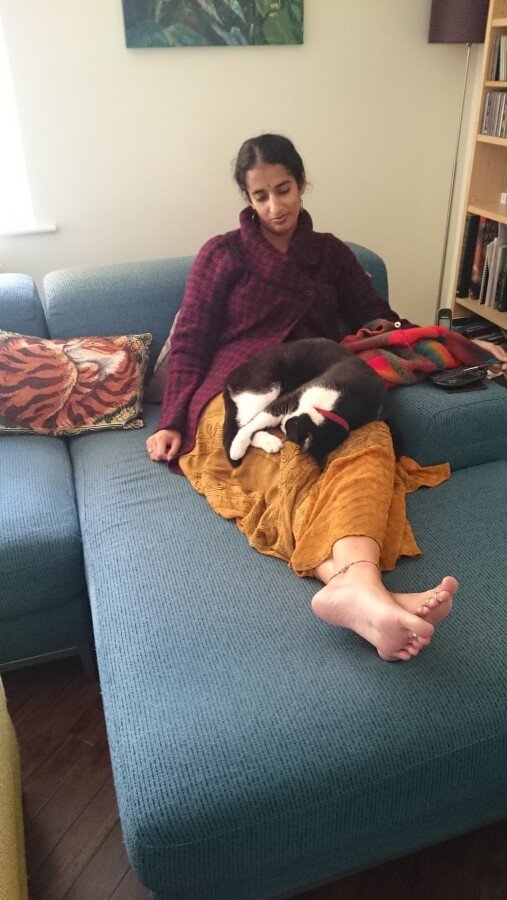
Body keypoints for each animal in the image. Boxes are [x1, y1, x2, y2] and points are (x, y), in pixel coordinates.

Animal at [223, 337, 391, 467]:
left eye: (289, 431)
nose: (282, 424)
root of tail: (231, 376)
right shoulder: (294, 396)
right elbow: (261, 420)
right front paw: (238, 446)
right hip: (264, 387)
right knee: (239, 427)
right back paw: (241, 448)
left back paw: (269, 442)